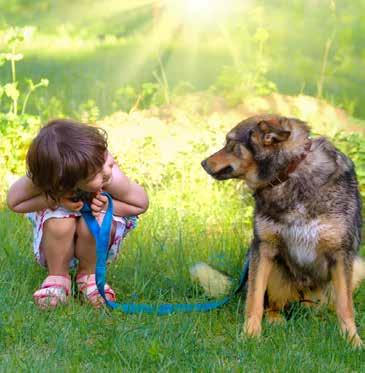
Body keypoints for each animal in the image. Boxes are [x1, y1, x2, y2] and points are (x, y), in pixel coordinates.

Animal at [200, 112, 362, 346]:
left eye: (230, 144)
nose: (203, 163)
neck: (289, 175)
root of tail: (303, 300)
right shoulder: (262, 248)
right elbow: (255, 300)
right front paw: (250, 334)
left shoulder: (341, 254)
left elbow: (346, 307)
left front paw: (352, 340)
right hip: (273, 268)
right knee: (273, 306)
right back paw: (276, 320)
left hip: (357, 267)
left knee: (327, 307)